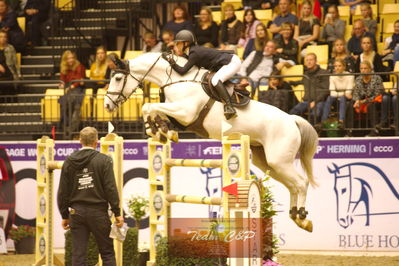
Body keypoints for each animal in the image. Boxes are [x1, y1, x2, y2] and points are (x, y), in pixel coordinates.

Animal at [105, 52, 318, 231]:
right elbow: (154, 110)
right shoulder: (180, 115)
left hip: (279, 160)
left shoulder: (185, 112)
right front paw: (163, 132)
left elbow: (148, 106)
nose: (107, 105)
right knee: (292, 186)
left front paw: (156, 131)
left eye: (117, 78)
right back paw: (298, 218)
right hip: (266, 162)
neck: (175, 78)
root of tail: (292, 120)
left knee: (301, 182)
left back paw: (302, 216)